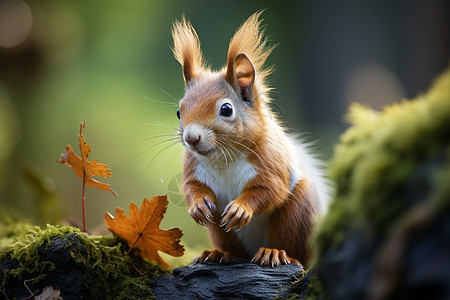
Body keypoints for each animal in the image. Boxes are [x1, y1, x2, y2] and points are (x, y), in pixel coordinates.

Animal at [172, 12, 330, 268]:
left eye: (226, 109)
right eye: (179, 111)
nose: (191, 138)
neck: (223, 158)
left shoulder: (270, 159)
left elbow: (269, 189)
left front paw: (240, 208)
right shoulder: (193, 165)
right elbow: (190, 186)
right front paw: (197, 205)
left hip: (301, 213)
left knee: (296, 251)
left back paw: (275, 253)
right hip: (220, 230)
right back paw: (218, 254)